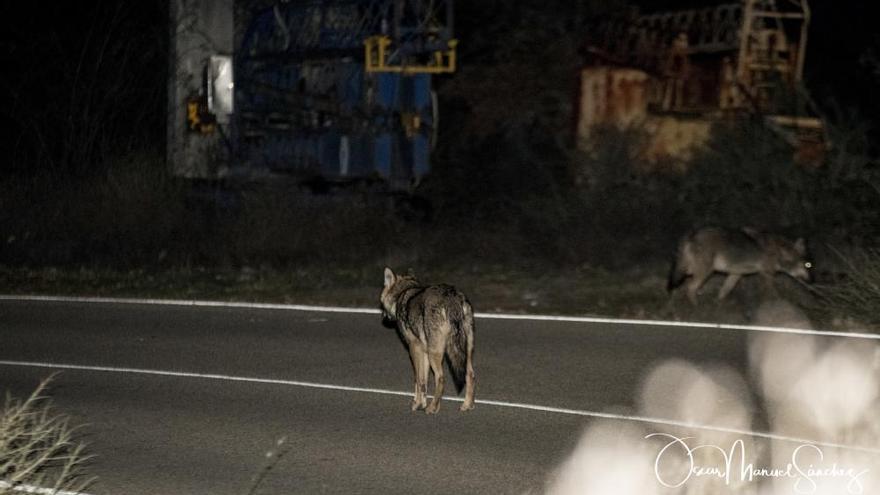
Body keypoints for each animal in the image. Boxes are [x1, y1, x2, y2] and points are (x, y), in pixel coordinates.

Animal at [378, 268, 474, 414]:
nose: (383, 316)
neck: (403, 292)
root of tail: (452, 297)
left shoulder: (414, 349)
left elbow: (418, 379)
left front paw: (417, 404)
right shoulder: (424, 351)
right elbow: (424, 381)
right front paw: (422, 403)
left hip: (436, 353)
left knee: (441, 378)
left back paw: (432, 408)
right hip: (462, 353)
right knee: (470, 375)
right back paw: (467, 405)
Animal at [672, 227, 816, 304]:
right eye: (808, 265)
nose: (812, 281)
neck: (779, 252)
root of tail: (692, 235)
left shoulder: (736, 274)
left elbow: (724, 291)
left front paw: (718, 304)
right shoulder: (766, 274)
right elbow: (773, 294)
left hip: (690, 271)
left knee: (684, 287)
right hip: (704, 272)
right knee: (690, 288)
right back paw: (695, 307)